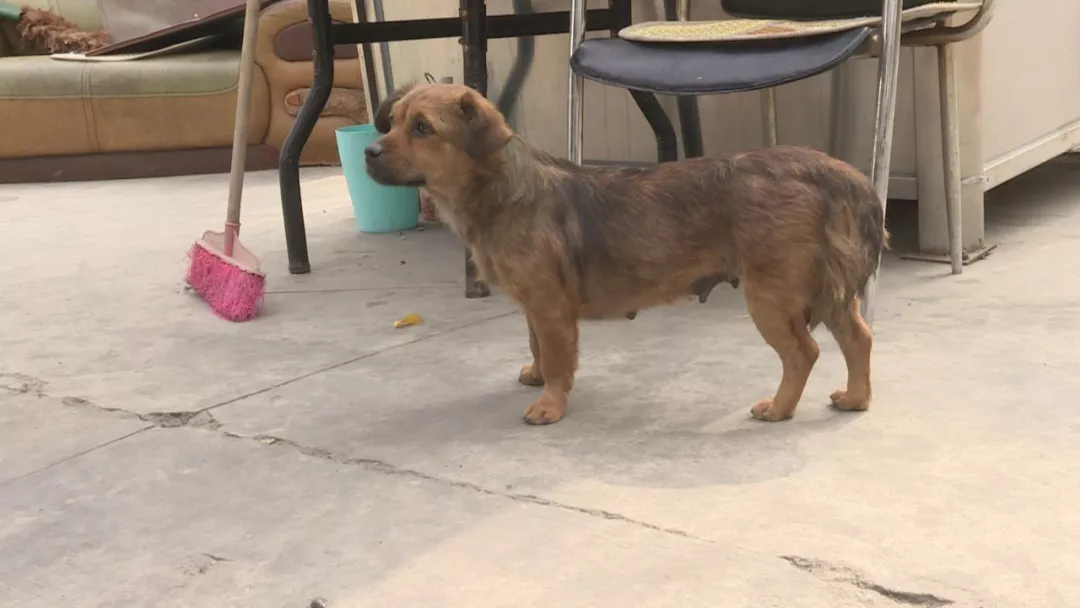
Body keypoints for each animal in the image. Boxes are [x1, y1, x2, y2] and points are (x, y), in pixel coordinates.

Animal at [365, 83, 886, 425]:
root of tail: (833, 172)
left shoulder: (551, 308)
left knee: (804, 352)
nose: (368, 151)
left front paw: (549, 404)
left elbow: (558, 358)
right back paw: (857, 398)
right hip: (826, 290)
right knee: (858, 338)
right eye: (392, 122)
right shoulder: (534, 306)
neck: (500, 191)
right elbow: (535, 345)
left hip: (772, 296)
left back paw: (780, 408)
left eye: (422, 128)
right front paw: (535, 374)